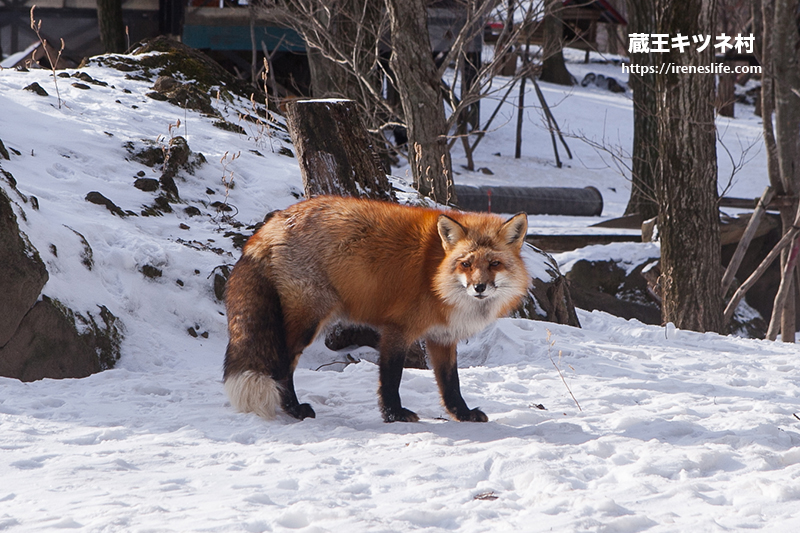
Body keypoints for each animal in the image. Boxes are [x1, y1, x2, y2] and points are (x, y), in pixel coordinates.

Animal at [222, 195, 528, 424]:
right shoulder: (398, 329)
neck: (436, 274)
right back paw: (295, 410)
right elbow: (391, 378)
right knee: (282, 366)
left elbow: (451, 383)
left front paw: (462, 414)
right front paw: (394, 415)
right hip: (309, 320)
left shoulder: (442, 337)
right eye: (466, 264)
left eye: (494, 264)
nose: (479, 287)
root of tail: (271, 223)